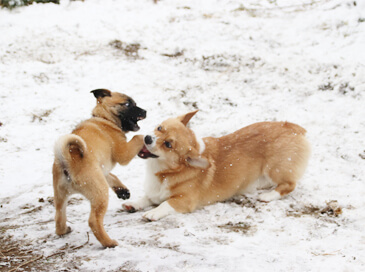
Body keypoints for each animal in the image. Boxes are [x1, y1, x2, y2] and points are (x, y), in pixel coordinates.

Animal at [52, 88, 146, 246]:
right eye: (127, 104)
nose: (145, 111)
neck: (105, 119)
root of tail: (67, 161)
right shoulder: (124, 153)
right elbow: (138, 137)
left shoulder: (101, 169)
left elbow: (111, 176)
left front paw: (122, 190)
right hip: (100, 194)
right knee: (93, 221)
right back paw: (109, 243)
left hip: (61, 195)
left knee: (59, 217)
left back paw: (64, 230)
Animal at [123, 110, 310, 221]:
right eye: (159, 128)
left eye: (168, 144)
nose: (147, 138)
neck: (164, 172)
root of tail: (292, 126)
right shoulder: (154, 193)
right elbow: (145, 198)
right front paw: (133, 204)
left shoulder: (185, 200)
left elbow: (165, 204)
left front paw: (153, 213)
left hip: (275, 168)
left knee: (289, 185)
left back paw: (268, 196)